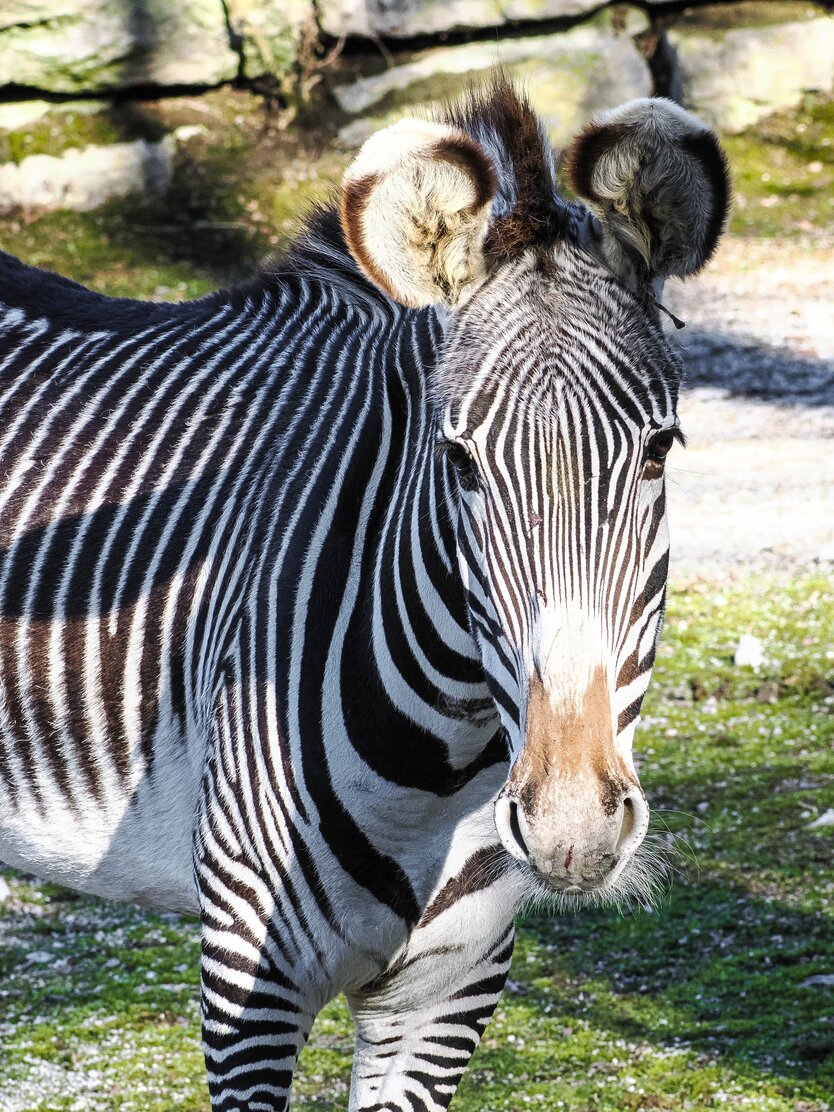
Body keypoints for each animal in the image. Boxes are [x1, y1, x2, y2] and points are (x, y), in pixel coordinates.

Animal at [0, 82, 729, 1107]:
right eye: (457, 462)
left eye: (660, 450)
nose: (572, 827)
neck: (440, 769)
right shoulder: (248, 982)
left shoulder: (446, 994)